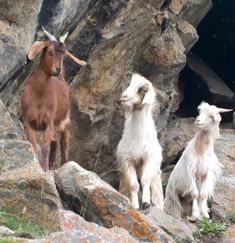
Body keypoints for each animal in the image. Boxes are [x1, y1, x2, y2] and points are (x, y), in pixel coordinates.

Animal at [21, 27, 86, 171]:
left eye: (64, 54)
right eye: (50, 51)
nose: (58, 69)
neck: (38, 95)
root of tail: (61, 78)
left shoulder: (48, 122)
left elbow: (45, 146)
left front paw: (44, 169)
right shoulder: (29, 121)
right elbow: (34, 146)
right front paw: (40, 166)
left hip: (65, 121)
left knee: (63, 143)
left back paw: (63, 164)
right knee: (55, 141)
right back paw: (51, 165)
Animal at [116, 73, 163, 210]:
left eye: (142, 90)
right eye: (129, 84)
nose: (123, 97)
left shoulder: (150, 158)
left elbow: (145, 180)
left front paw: (146, 202)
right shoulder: (127, 161)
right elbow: (134, 185)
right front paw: (135, 206)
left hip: (156, 171)